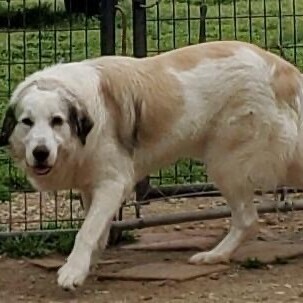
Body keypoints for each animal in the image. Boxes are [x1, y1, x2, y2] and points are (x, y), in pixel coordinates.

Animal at [0, 40, 303, 290]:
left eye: (57, 121)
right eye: (27, 122)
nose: (40, 153)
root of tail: (285, 71)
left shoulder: (113, 183)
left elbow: (86, 230)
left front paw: (73, 271)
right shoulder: (90, 184)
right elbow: (97, 228)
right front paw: (88, 263)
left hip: (226, 162)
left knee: (248, 220)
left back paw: (214, 255)